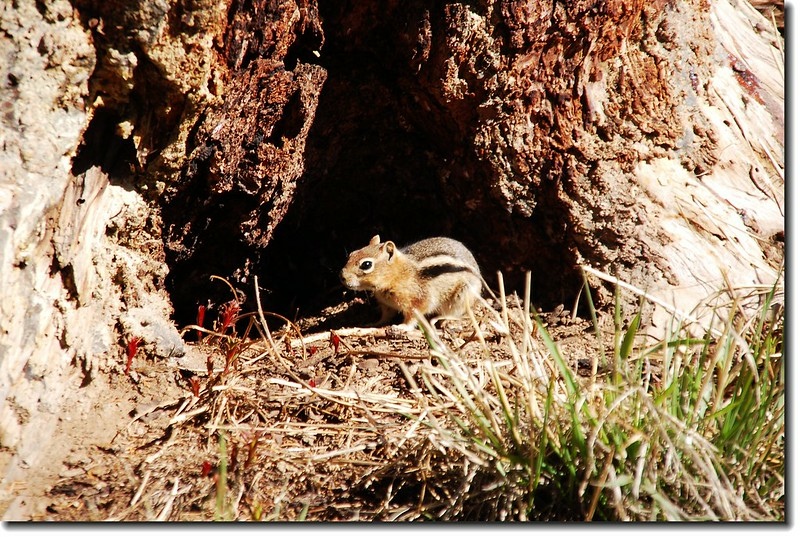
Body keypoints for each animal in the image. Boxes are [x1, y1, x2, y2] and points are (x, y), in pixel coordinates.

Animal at [340, 234, 482, 327]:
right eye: (352, 253)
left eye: (366, 265)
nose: (342, 277)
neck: (398, 275)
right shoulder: (386, 305)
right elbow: (386, 316)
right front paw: (374, 323)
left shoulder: (418, 301)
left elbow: (413, 317)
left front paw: (402, 327)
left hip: (462, 296)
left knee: (457, 313)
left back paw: (443, 319)